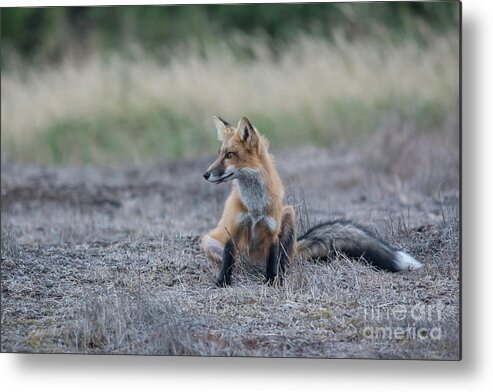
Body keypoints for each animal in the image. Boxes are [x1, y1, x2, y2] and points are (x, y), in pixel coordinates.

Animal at [199, 115, 418, 286]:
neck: (254, 208)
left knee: (284, 260)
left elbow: (272, 262)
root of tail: (252, 262)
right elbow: (228, 258)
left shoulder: (272, 233)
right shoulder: (233, 229)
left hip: (289, 214)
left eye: (230, 155)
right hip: (209, 241)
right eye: (219, 154)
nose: (205, 174)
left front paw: (272, 282)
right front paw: (223, 282)